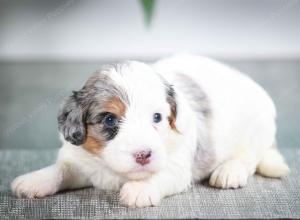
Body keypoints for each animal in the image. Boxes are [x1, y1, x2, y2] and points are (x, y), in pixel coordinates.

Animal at [10, 54, 290, 207]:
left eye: (157, 117)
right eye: (109, 120)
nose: (143, 154)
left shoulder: (178, 166)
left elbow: (160, 174)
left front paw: (140, 189)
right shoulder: (79, 160)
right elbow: (61, 169)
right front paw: (35, 179)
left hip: (257, 127)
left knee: (249, 157)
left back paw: (230, 171)